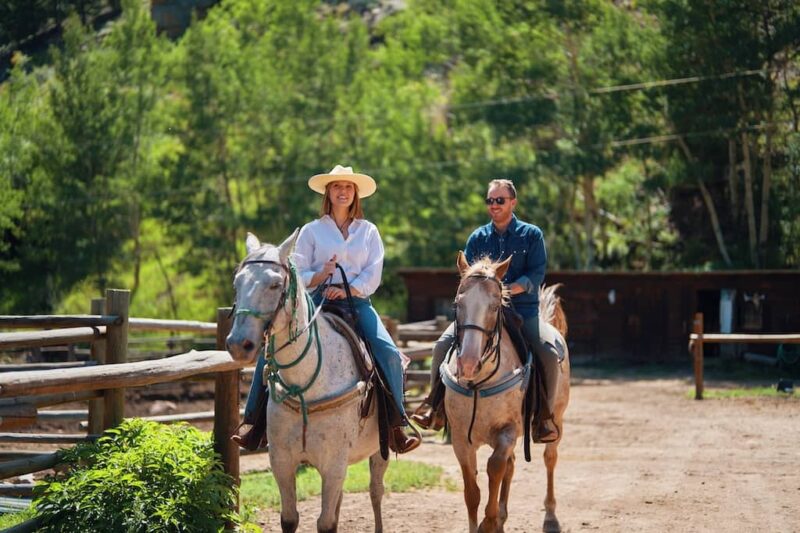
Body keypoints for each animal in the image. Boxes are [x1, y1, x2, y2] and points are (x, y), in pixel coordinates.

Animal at [227, 230, 390, 532]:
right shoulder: (282, 462)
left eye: (274, 284)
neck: (306, 384)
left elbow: (326, 523)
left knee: (376, 491)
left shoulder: (334, 464)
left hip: (380, 451)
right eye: (237, 283)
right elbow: (291, 518)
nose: (238, 344)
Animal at [444, 252, 568, 532]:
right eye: (457, 304)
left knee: (550, 459)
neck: (479, 383)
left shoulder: (508, 431)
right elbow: (472, 491)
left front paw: (489, 522)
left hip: (556, 421)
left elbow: (495, 468)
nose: (468, 363)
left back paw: (551, 516)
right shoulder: (460, 439)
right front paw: (486, 522)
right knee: (511, 468)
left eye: (494, 307)